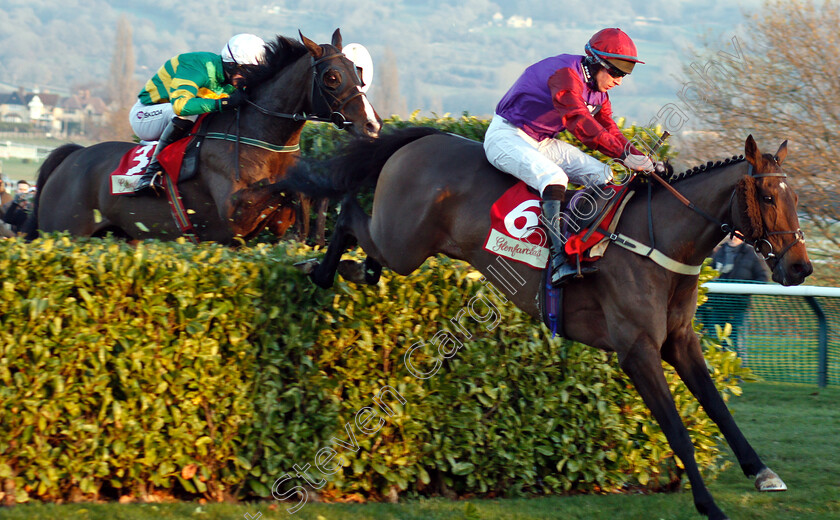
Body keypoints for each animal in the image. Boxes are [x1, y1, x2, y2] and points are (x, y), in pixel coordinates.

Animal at [24, 29, 380, 245]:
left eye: (357, 71)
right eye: (332, 77)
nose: (372, 125)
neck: (262, 138)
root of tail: (72, 157)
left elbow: (300, 194)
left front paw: (314, 233)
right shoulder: (235, 214)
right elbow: (288, 187)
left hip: (123, 234)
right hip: (64, 231)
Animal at [306, 127, 812, 520]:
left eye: (796, 197)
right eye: (768, 196)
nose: (800, 268)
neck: (658, 241)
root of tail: (421, 140)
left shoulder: (680, 342)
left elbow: (718, 409)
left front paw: (762, 472)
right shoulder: (638, 350)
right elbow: (678, 432)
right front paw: (710, 505)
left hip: (402, 246)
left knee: (365, 243)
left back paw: (355, 270)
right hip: (403, 244)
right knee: (349, 214)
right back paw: (323, 268)